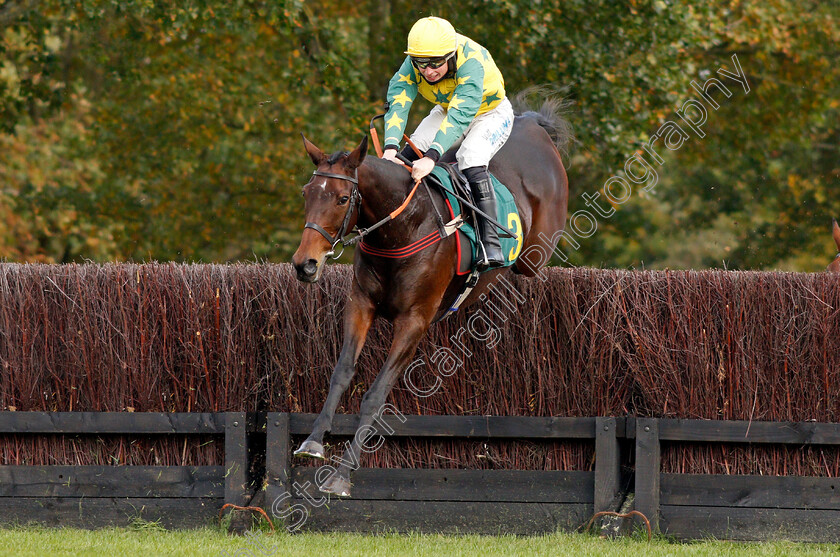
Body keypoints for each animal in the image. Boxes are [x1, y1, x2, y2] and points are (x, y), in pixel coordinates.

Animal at [288, 96, 572, 496]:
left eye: (343, 198)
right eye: (307, 194)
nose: (305, 264)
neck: (401, 227)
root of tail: (533, 125)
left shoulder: (414, 321)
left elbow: (376, 394)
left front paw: (341, 476)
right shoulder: (360, 305)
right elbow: (342, 372)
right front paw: (312, 442)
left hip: (535, 254)